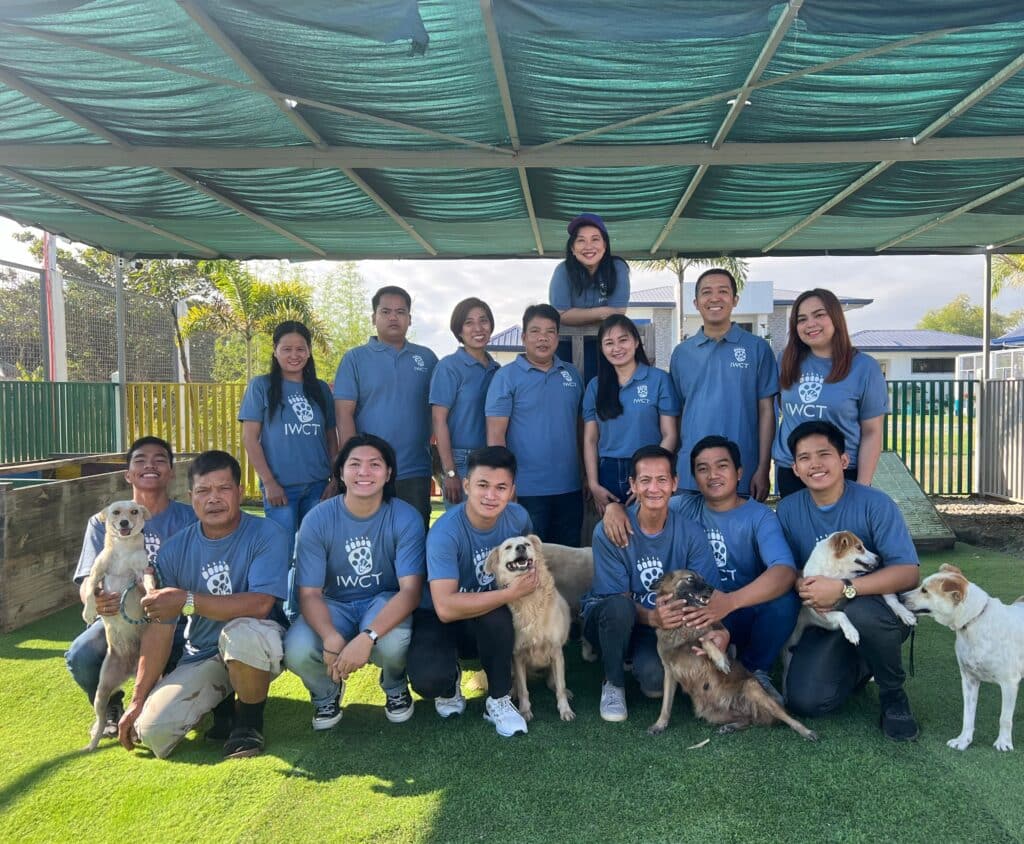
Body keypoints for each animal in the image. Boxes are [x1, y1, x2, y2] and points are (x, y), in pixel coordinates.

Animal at [80, 501, 155, 749]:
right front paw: (90, 611)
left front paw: (153, 594)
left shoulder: (143, 570)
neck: (124, 549)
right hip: (101, 693)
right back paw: (93, 743)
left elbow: (148, 582)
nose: (124, 523)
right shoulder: (97, 572)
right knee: (102, 718)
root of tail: (130, 670)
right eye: (115, 512)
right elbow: (91, 589)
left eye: (134, 511)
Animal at [483, 536, 573, 721]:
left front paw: (565, 710)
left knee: (553, 681)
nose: (520, 547)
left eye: (527, 544)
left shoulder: (556, 652)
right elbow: (524, 689)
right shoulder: (517, 655)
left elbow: (560, 686)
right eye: (508, 547)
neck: (529, 600)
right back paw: (512, 693)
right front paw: (524, 711)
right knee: (516, 684)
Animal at [647, 569, 815, 741]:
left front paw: (721, 660)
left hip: (752, 688)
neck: (681, 626)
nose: (712, 589)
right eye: (690, 579)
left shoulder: (707, 634)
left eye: (703, 579)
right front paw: (660, 724)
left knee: (786, 717)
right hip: (713, 714)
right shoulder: (669, 671)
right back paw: (730, 727)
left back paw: (806, 731)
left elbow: (705, 640)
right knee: (747, 720)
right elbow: (666, 705)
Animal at [905, 565, 1024, 749]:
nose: (899, 596)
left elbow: (1005, 718)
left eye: (924, 590)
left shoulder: (1009, 682)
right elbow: (968, 715)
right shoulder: (969, 679)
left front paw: (1003, 742)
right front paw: (963, 741)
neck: (974, 622)